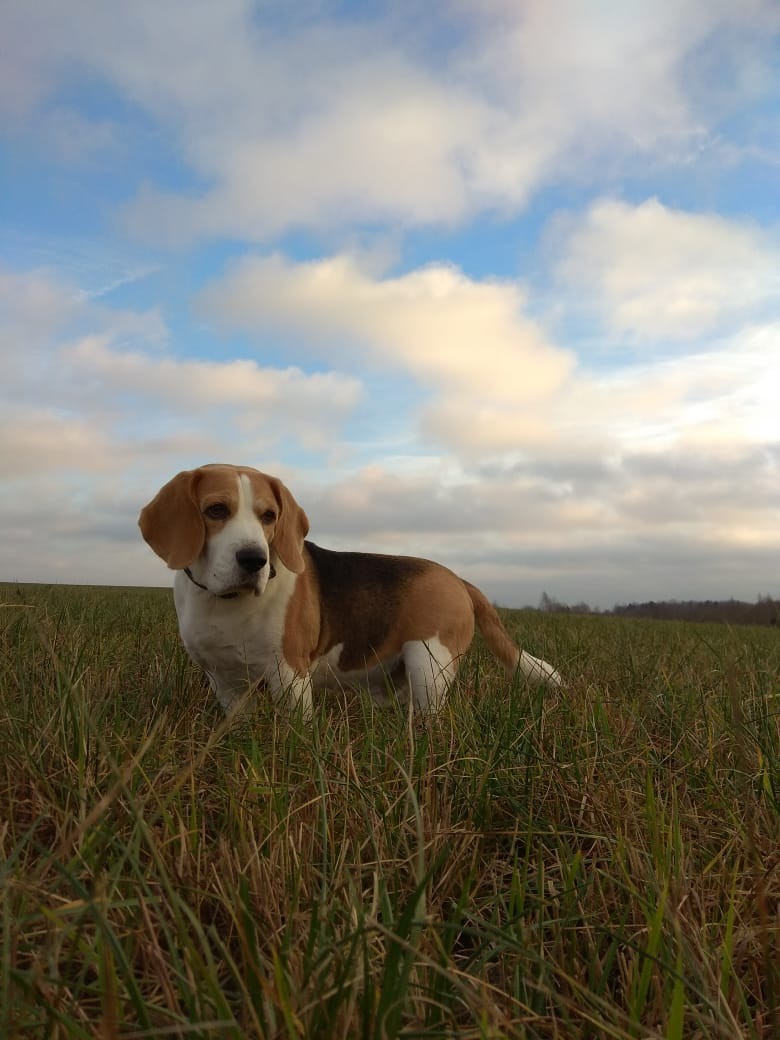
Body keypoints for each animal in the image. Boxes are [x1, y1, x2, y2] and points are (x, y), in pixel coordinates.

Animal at [137, 463, 557, 715]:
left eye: (269, 516)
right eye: (216, 510)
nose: (255, 560)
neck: (225, 603)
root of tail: (457, 578)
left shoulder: (290, 676)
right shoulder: (224, 682)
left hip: (430, 665)